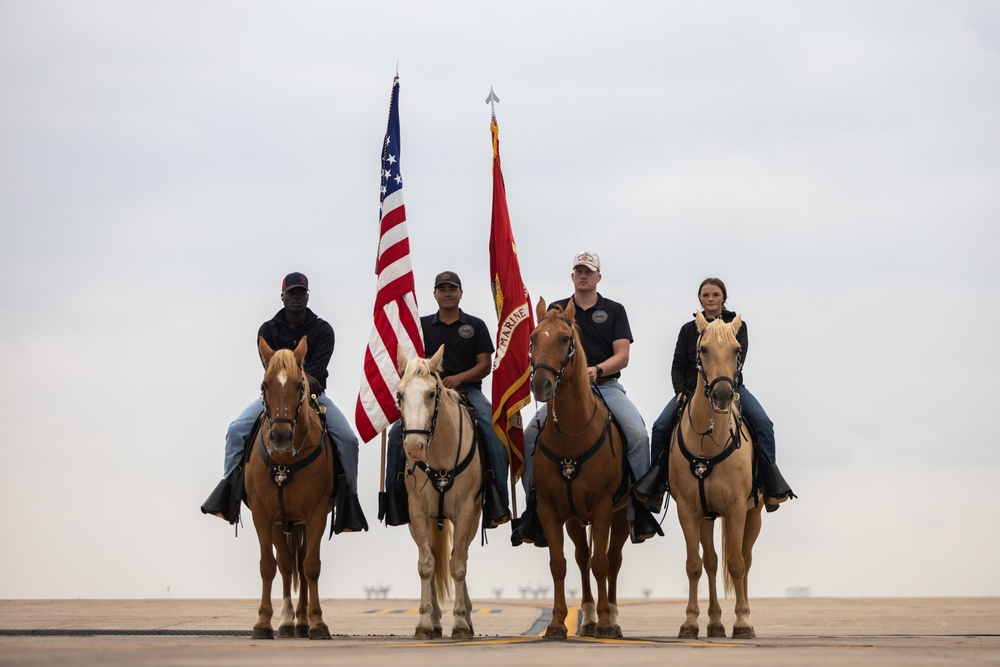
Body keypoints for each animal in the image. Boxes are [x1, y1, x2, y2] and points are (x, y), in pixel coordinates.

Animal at [245, 340, 336, 640]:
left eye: (300, 385)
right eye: (264, 385)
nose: (280, 436)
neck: (285, 462)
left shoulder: (316, 515)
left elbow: (311, 566)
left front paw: (318, 622)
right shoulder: (263, 515)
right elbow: (268, 566)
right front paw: (263, 622)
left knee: (301, 564)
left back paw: (303, 621)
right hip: (281, 522)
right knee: (285, 565)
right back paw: (286, 622)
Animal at [394, 344, 480, 640]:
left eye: (431, 393)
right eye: (399, 394)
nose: (414, 447)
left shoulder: (466, 510)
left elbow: (458, 564)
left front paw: (462, 622)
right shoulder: (417, 511)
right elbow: (426, 564)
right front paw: (424, 622)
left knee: (461, 554)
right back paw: (435, 620)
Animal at [528, 300, 628, 640]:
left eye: (564, 339)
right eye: (532, 338)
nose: (541, 385)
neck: (572, 432)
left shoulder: (602, 506)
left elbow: (601, 563)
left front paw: (608, 623)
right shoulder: (549, 508)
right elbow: (559, 563)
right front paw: (557, 623)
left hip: (621, 516)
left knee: (612, 559)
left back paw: (612, 618)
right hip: (574, 519)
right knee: (582, 558)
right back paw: (588, 619)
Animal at [672, 314, 764, 640]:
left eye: (737, 350)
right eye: (704, 349)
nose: (723, 395)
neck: (708, 441)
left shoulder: (737, 508)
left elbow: (736, 564)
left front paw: (743, 622)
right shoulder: (688, 510)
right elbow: (694, 564)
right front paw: (689, 622)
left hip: (754, 513)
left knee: (746, 560)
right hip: (707, 517)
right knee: (711, 562)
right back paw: (713, 623)